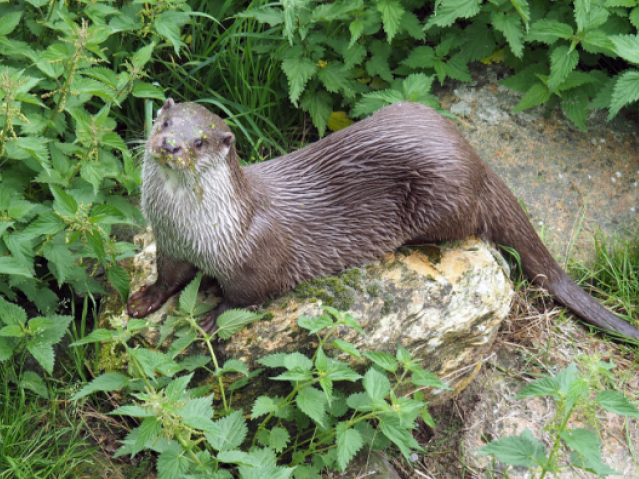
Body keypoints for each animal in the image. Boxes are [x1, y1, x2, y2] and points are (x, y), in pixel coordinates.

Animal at [126, 97, 639, 340]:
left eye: (200, 141)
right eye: (166, 123)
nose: (170, 145)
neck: (199, 230)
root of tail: (474, 156)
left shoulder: (256, 257)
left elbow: (247, 295)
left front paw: (213, 318)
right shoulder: (171, 244)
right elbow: (168, 278)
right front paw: (143, 300)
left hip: (444, 194)